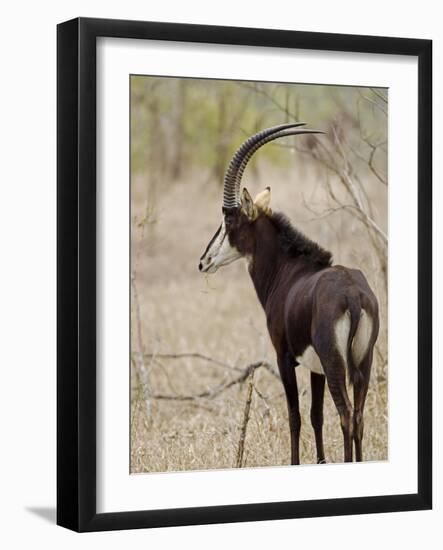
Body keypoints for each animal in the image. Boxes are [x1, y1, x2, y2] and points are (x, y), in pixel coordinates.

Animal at [199, 125, 380, 466]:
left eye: (228, 220)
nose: (204, 261)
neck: (288, 271)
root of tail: (352, 294)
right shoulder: (314, 367)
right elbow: (315, 416)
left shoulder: (285, 358)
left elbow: (294, 417)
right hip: (363, 362)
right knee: (359, 416)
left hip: (336, 363)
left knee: (346, 415)